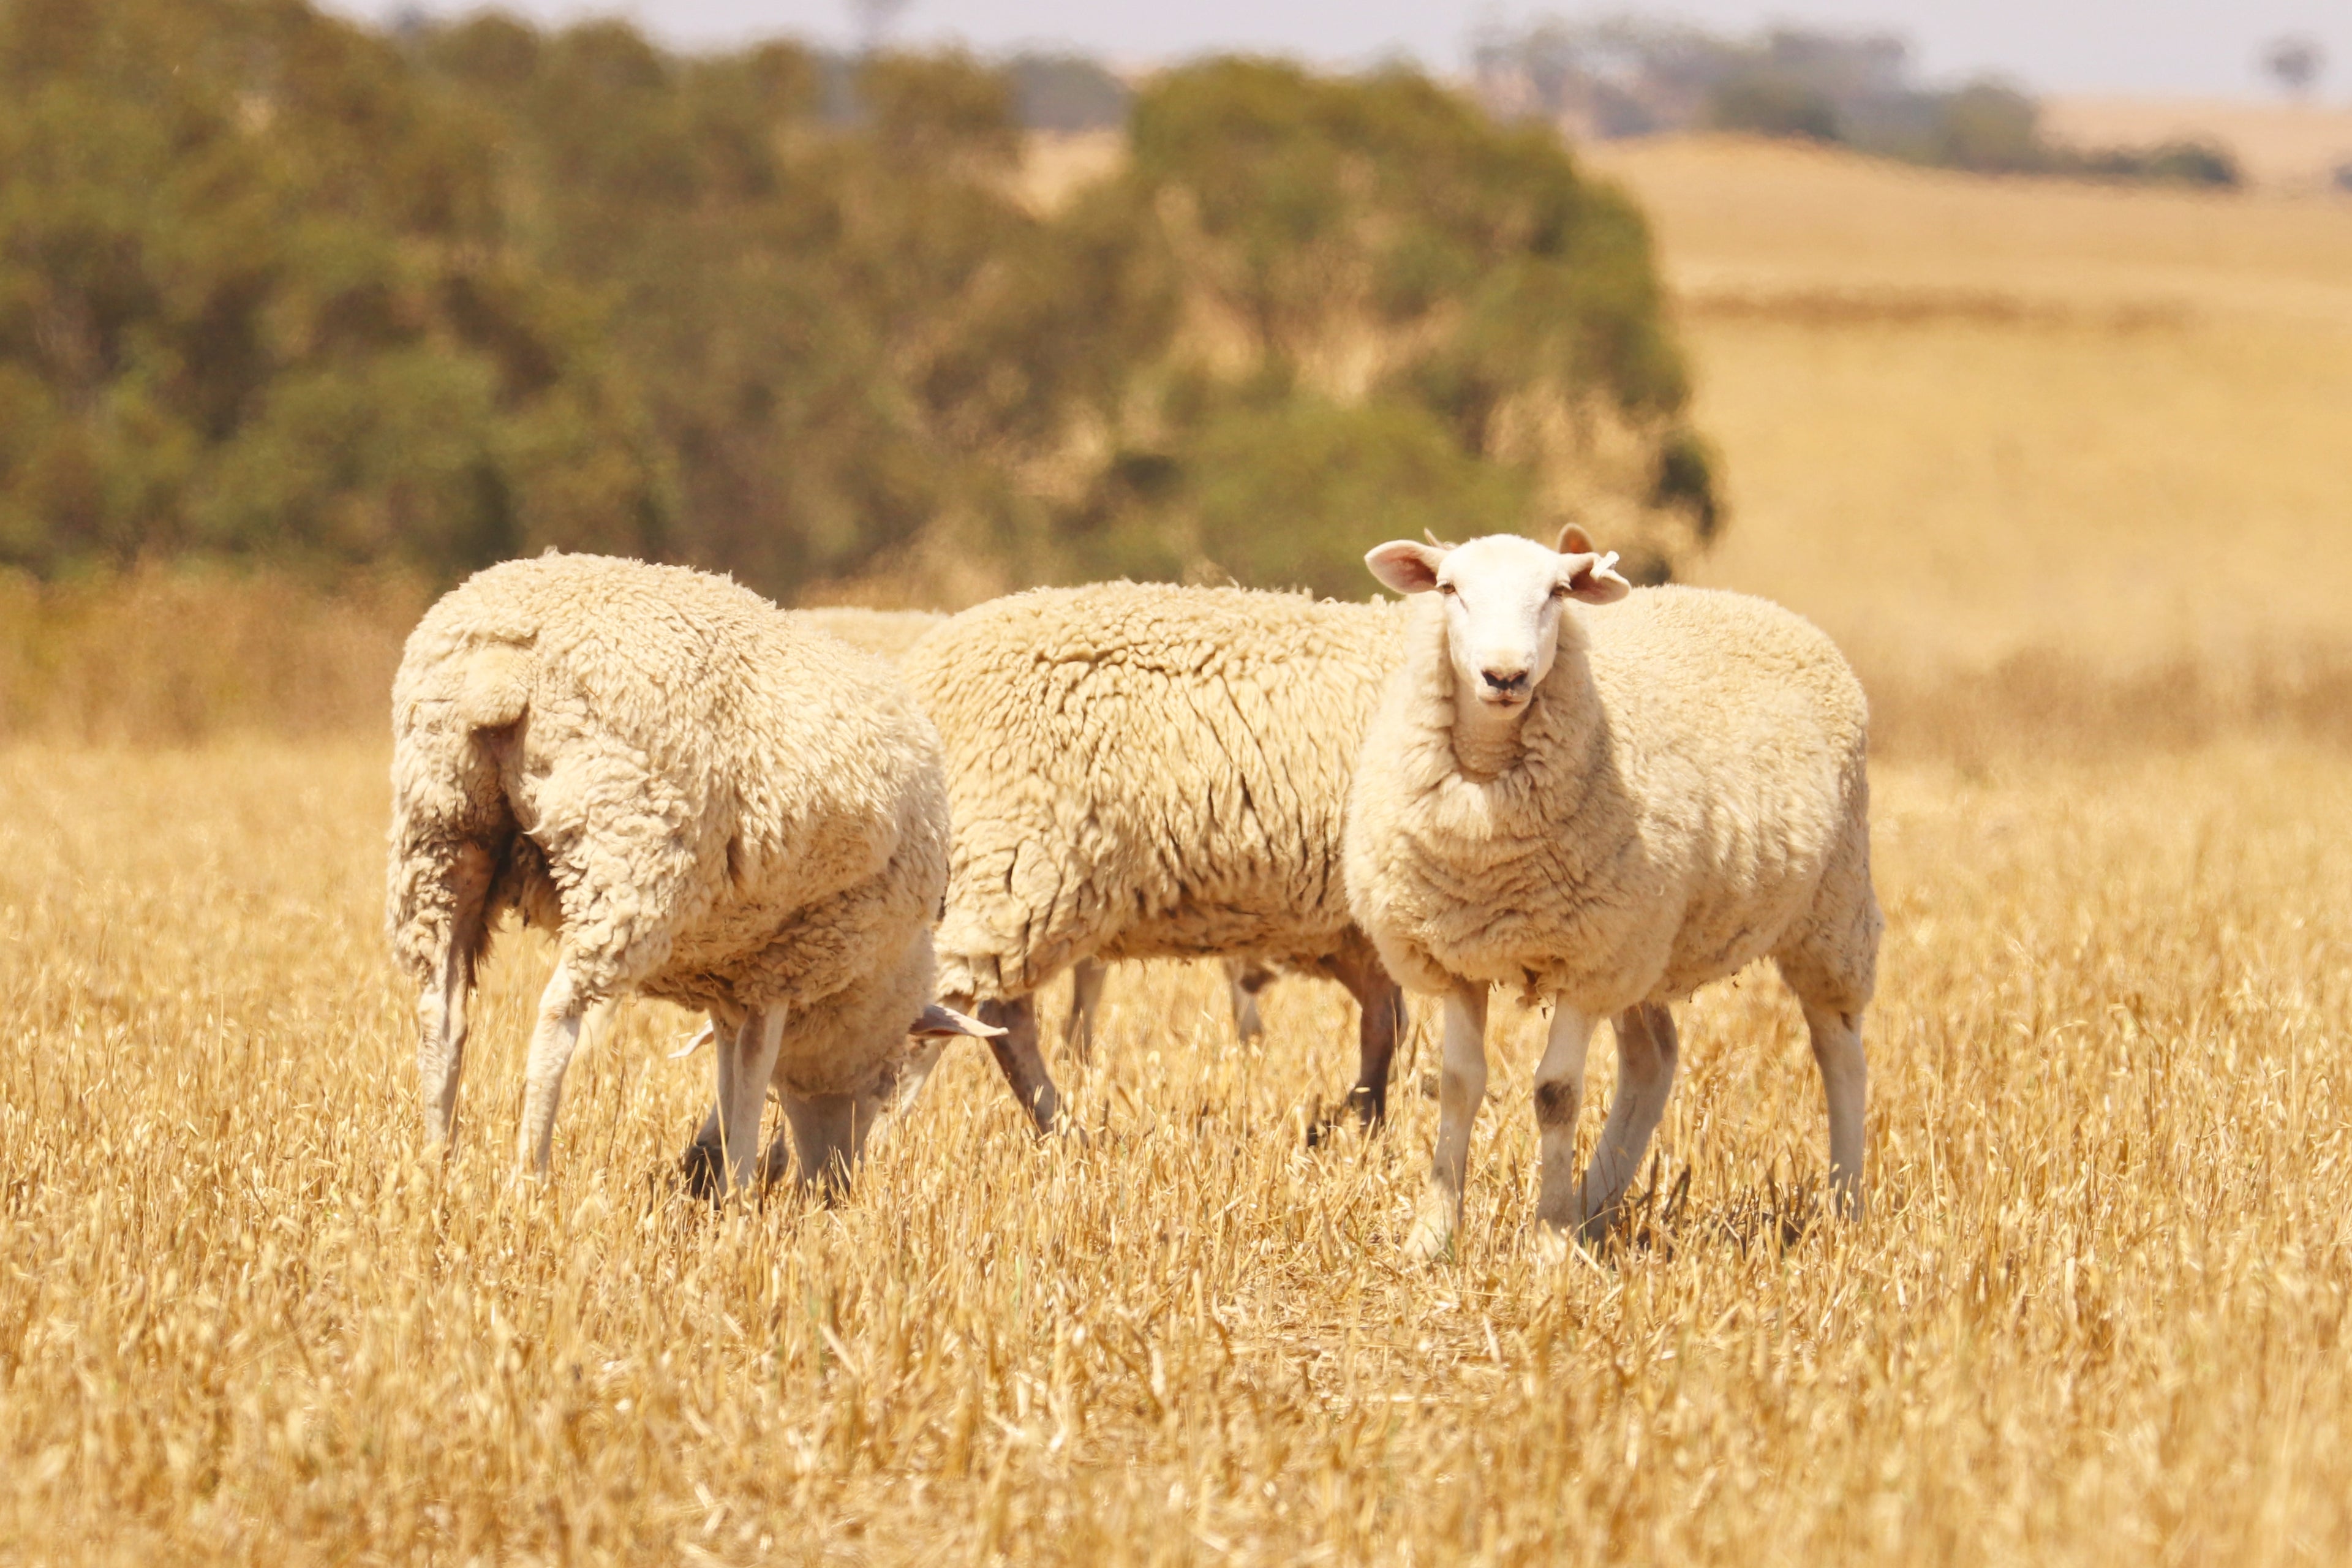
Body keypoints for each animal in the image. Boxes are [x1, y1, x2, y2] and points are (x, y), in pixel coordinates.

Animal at [385, 552, 996, 1195]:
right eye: (885, 1079)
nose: (835, 1189)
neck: (874, 973)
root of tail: (500, 670)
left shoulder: (730, 976)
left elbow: (730, 1075)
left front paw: (724, 1182)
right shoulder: (784, 966)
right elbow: (752, 1080)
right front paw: (741, 1195)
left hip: (443, 830)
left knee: (441, 1012)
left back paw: (437, 1168)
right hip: (625, 851)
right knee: (556, 1016)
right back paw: (531, 1177)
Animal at [893, 582, 1412, 1137]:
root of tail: (923, 679)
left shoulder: (1358, 933)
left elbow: (1384, 1027)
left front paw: (1357, 1126)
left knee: (1001, 1017)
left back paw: (1064, 1132)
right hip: (1020, 861)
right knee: (931, 1013)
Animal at [1343, 527, 1880, 1261]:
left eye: (1557, 592)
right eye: (1450, 588)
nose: (1506, 677)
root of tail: (1758, 604)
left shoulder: (1587, 960)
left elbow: (1556, 1094)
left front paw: (1547, 1238)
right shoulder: (1459, 957)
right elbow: (1458, 1085)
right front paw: (1434, 1235)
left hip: (1830, 910)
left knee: (1840, 1054)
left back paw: (1845, 1207)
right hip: (1649, 944)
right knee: (1653, 1061)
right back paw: (1596, 1203)